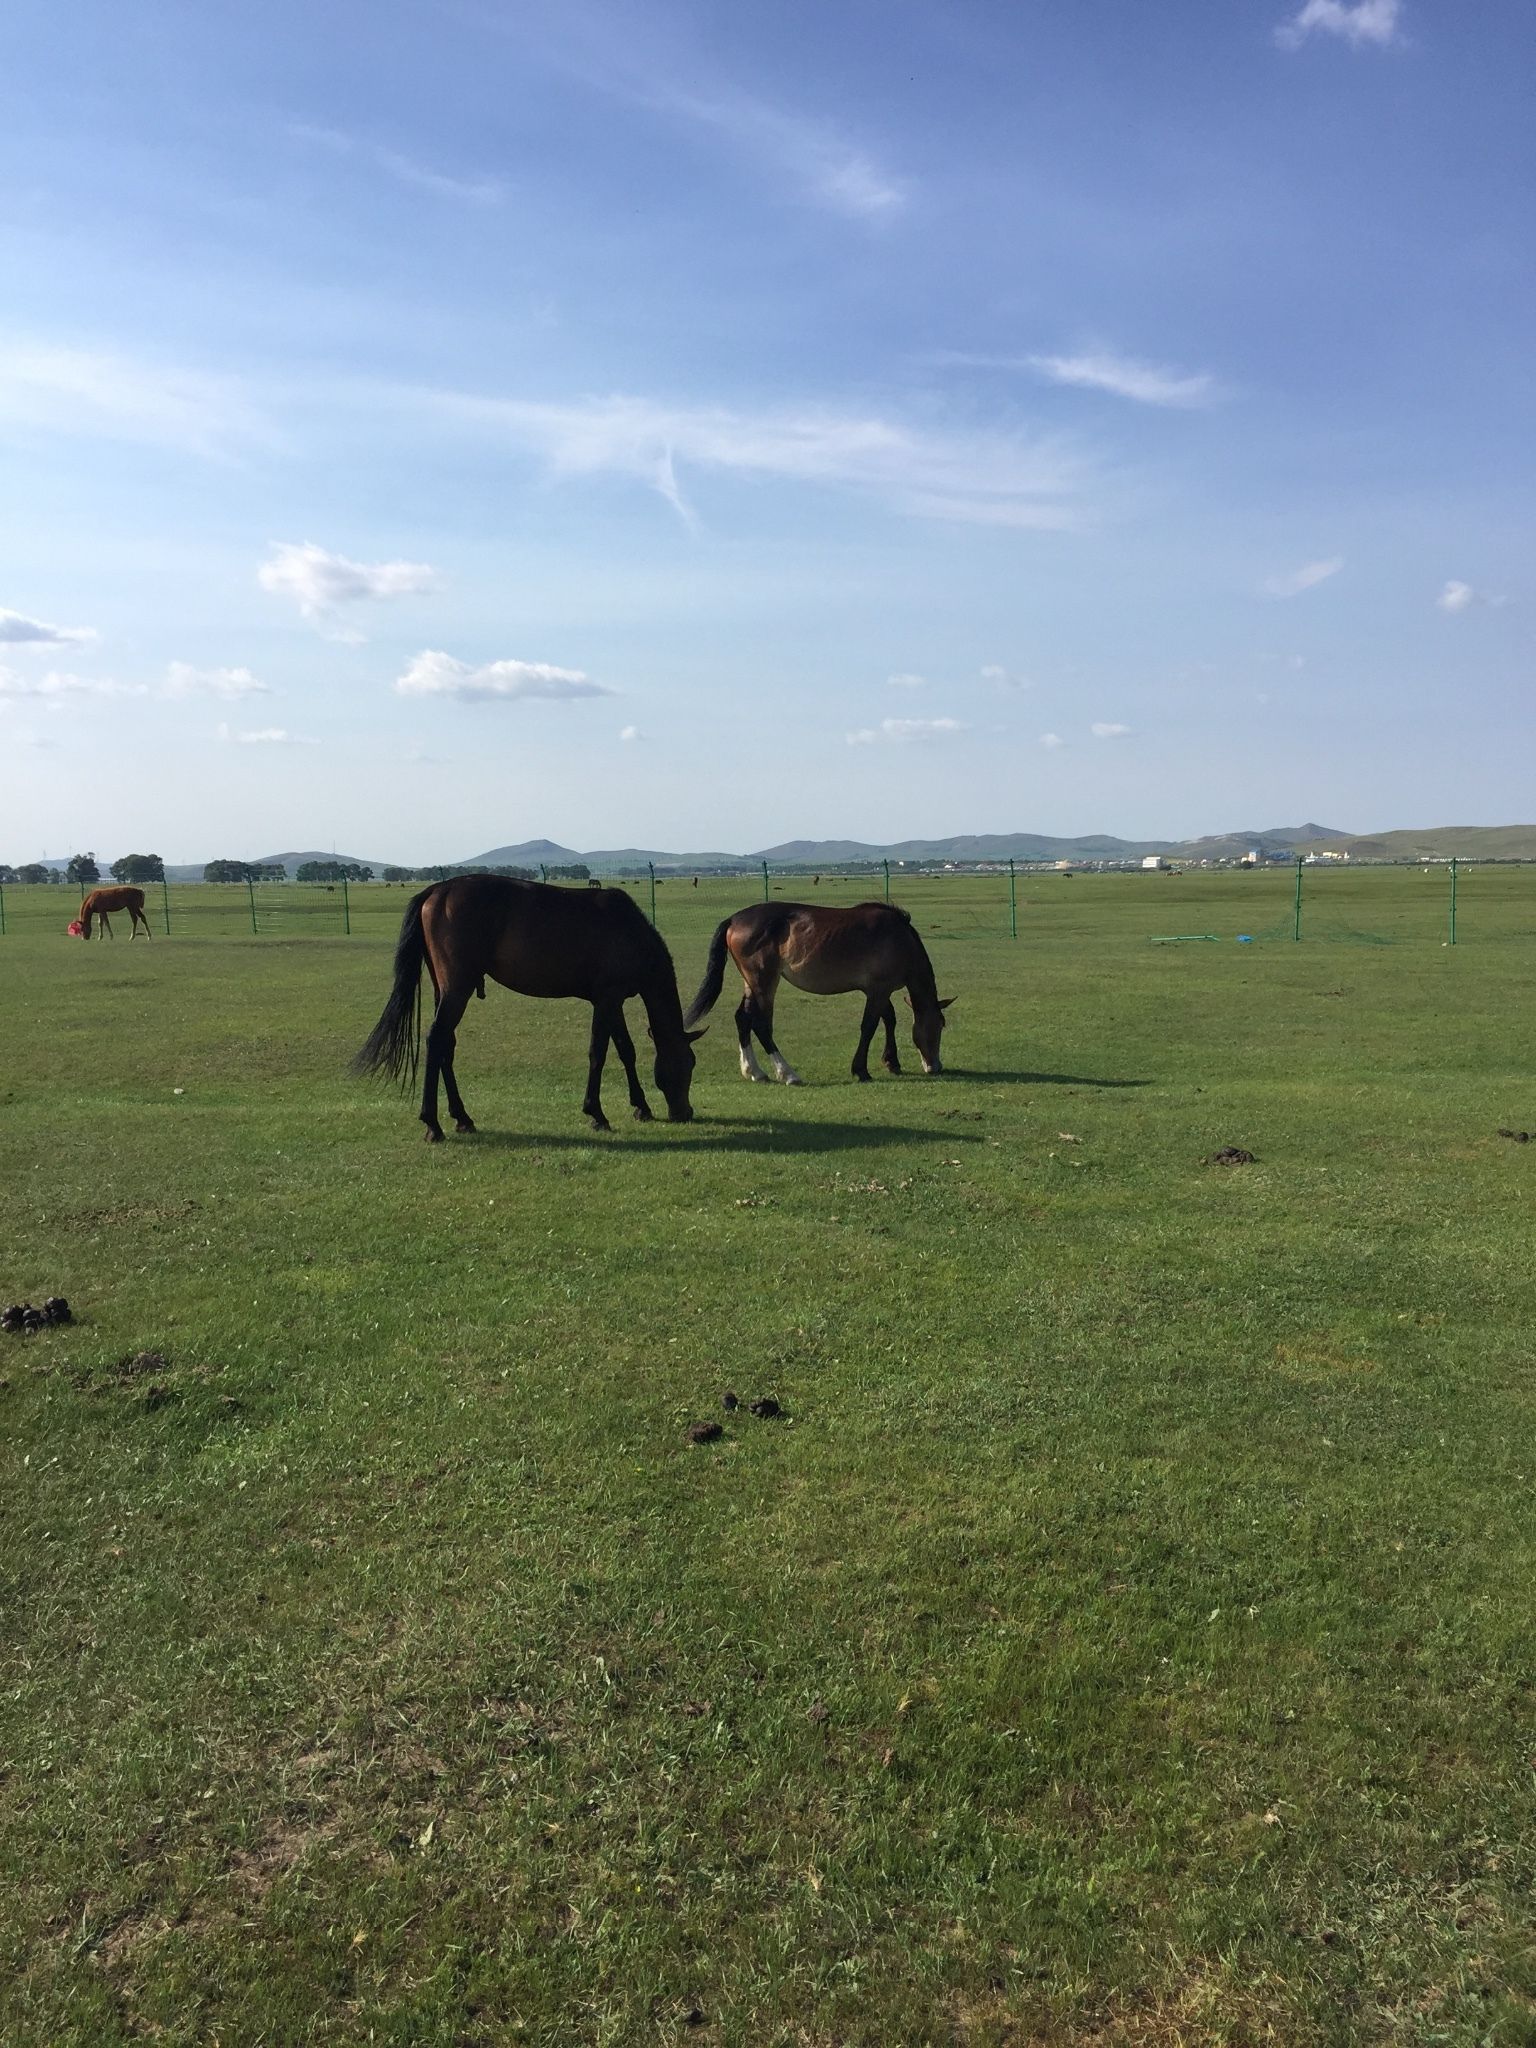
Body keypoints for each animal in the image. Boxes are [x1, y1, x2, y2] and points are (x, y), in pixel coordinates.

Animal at [354, 872, 704, 1146]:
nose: (685, 1113)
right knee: (437, 1039)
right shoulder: (607, 999)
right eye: (688, 1064)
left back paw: (462, 1117)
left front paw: (641, 1106)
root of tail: (437, 890)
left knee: (446, 1046)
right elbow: (599, 1053)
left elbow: (625, 1050)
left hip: (445, 989)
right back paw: (433, 1124)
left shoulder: (611, 1001)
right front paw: (596, 1113)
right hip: (457, 988)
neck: (629, 930)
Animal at [684, 901, 950, 1089]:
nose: (935, 1066)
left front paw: (891, 1062)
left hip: (751, 982)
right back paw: (787, 1074)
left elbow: (889, 1020)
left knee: (743, 1018)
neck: (899, 938)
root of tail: (734, 919)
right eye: (939, 1026)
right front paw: (861, 1070)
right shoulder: (878, 991)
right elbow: (869, 1026)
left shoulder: (878, 992)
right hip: (764, 982)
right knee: (761, 1024)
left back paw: (754, 1071)